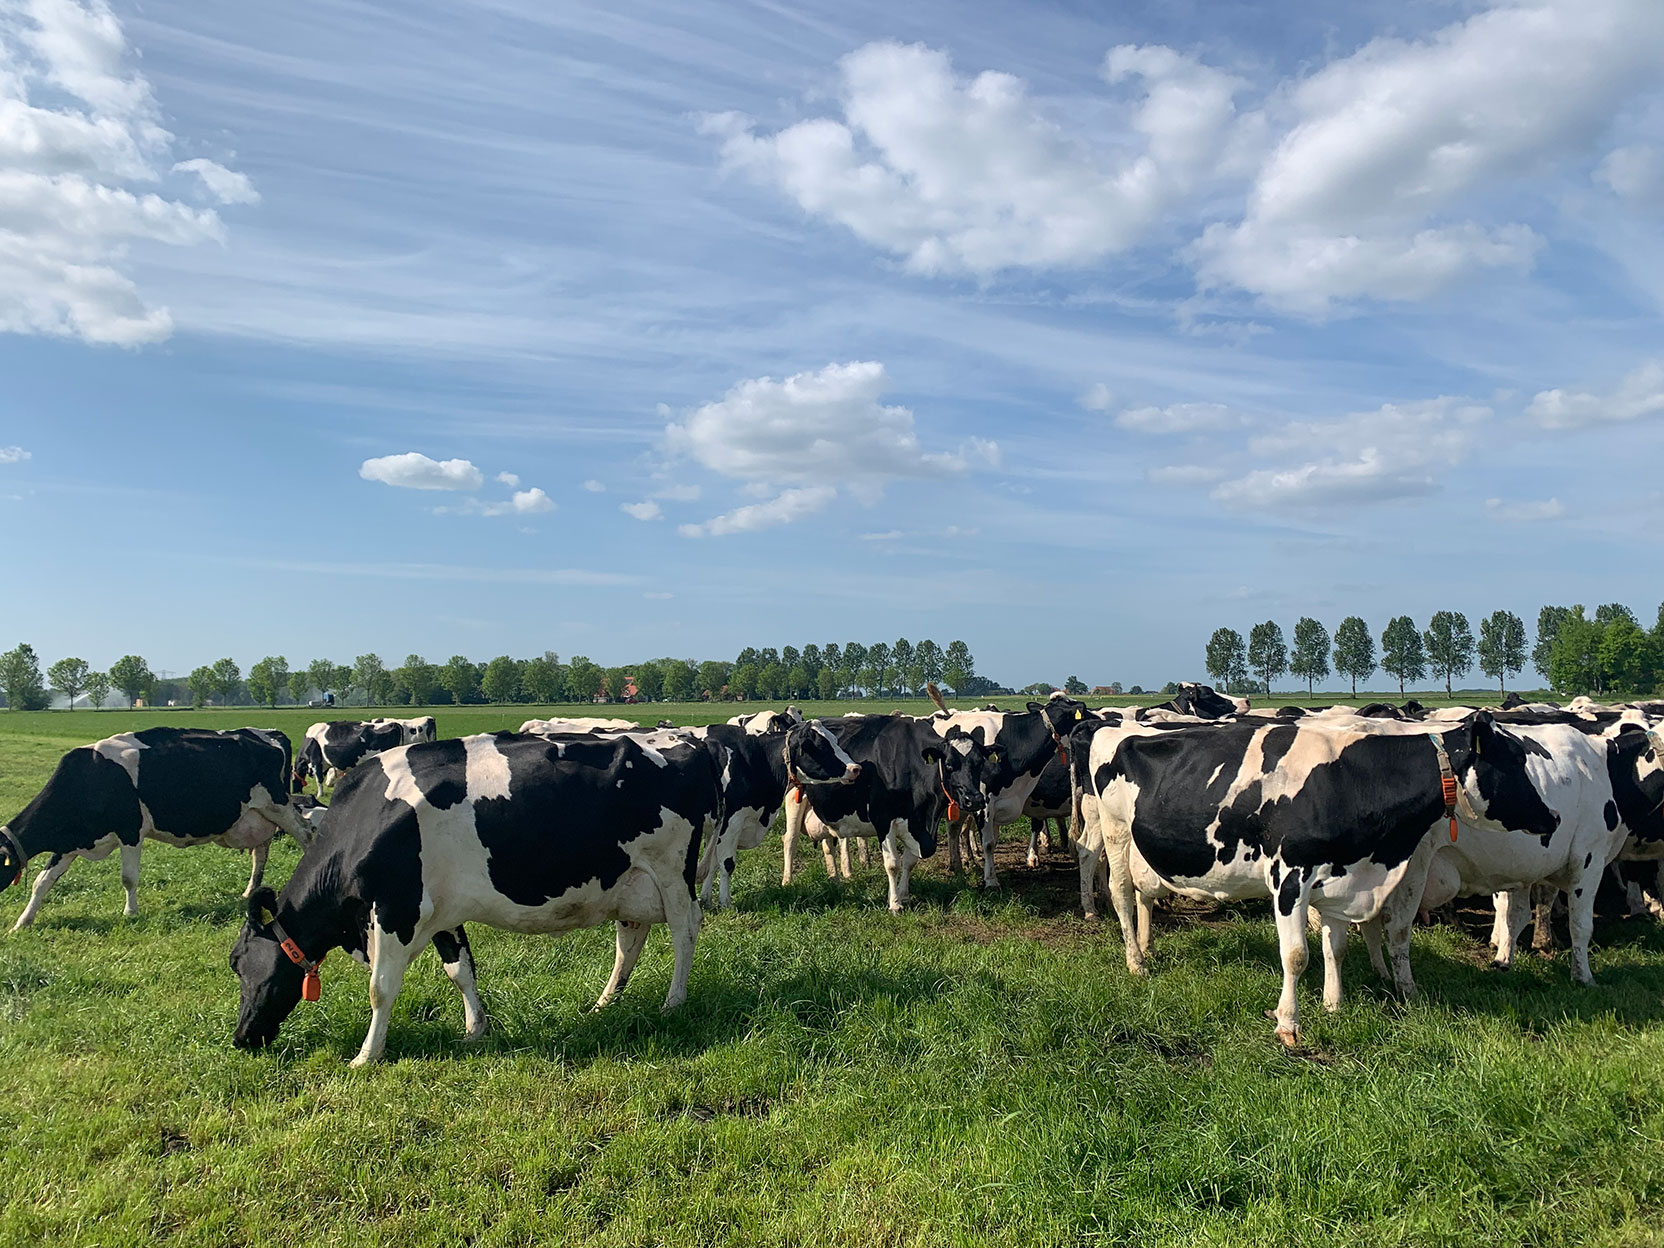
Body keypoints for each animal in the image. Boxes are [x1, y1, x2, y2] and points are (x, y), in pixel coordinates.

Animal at [1, 728, 314, 931]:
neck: (90, 778)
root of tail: (269, 734)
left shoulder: (130, 831)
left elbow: (128, 879)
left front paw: (130, 913)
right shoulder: (70, 842)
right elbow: (42, 881)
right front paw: (23, 922)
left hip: (278, 806)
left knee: (308, 837)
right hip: (258, 816)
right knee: (260, 852)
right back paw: (250, 891)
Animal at [231, 732, 725, 1064]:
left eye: (243, 967)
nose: (239, 1038)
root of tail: (688, 741)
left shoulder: (394, 910)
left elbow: (380, 988)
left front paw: (366, 1055)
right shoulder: (440, 912)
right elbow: (460, 971)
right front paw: (474, 1029)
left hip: (671, 872)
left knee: (684, 931)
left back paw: (673, 1001)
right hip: (628, 880)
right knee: (630, 941)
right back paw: (605, 1003)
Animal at [782, 718, 998, 911]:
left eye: (980, 763)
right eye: (950, 764)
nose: (974, 799)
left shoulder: (915, 823)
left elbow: (909, 862)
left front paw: (904, 896)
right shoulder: (883, 819)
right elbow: (892, 863)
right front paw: (894, 904)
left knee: (828, 845)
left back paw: (834, 880)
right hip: (793, 800)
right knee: (790, 839)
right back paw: (787, 882)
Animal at [1071, 712, 1550, 1044]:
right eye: (1514, 763)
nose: (1553, 817)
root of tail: (1111, 725)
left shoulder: (1341, 876)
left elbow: (1336, 946)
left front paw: (1333, 1004)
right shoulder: (1289, 876)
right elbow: (1297, 955)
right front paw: (1288, 1024)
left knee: (1142, 894)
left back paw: (1146, 947)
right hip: (1114, 830)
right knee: (1121, 893)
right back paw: (1135, 962)